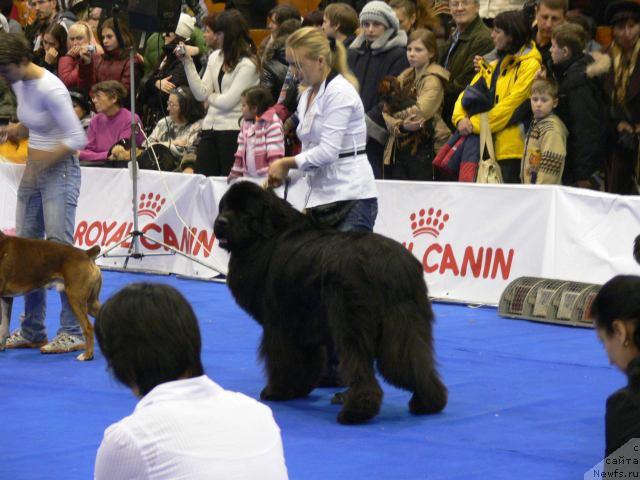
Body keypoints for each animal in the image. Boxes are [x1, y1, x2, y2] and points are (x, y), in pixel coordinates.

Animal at [0, 231, 102, 362]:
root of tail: (86, 253)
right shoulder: (5, 298)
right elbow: (4, 326)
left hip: (76, 299)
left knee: (88, 328)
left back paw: (87, 355)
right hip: (90, 303)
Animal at [215, 181, 444, 424]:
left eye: (244, 213)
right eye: (224, 207)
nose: (220, 222)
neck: (267, 236)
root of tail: (390, 266)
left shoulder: (279, 323)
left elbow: (283, 359)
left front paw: (277, 391)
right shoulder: (302, 324)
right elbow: (306, 359)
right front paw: (299, 388)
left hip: (352, 322)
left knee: (360, 365)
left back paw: (356, 411)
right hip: (405, 325)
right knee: (412, 361)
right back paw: (428, 402)